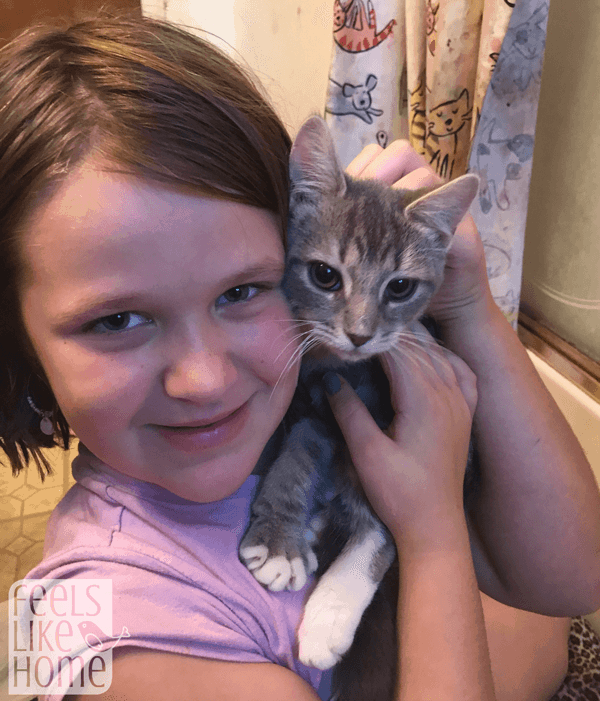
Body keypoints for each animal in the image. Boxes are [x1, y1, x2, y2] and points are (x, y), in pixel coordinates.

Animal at [239, 116, 478, 684]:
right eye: (326, 275)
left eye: (401, 287)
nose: (361, 335)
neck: (331, 364)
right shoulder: (312, 398)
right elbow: (297, 454)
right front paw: (280, 537)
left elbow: (384, 522)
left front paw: (325, 604)